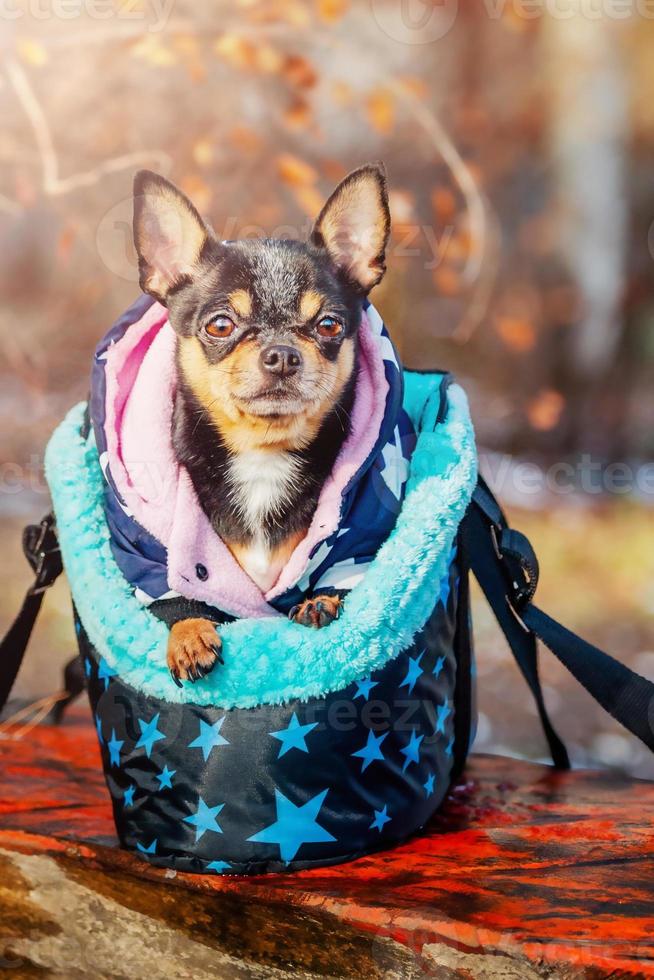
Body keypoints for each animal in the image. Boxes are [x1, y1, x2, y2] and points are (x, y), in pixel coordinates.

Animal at [131, 163, 392, 680]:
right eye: (220, 325)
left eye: (329, 325)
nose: (282, 354)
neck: (262, 455)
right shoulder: (148, 557)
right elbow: (176, 593)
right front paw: (189, 632)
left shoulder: (362, 530)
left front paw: (320, 599)